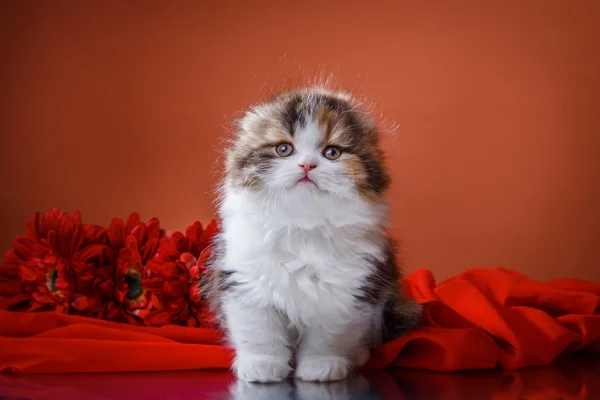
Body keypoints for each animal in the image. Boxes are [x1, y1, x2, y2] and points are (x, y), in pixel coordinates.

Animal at [205, 88, 422, 384]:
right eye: (284, 149)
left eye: (332, 153)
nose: (307, 165)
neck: (302, 227)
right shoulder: (246, 284)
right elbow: (260, 333)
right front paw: (262, 366)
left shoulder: (345, 293)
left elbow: (326, 339)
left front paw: (321, 367)